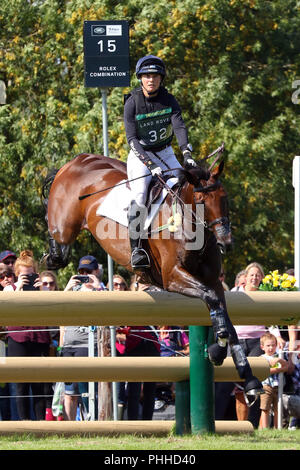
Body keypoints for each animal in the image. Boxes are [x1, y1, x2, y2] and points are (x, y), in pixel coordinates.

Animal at [42, 153, 262, 396]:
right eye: (201, 199)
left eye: (225, 198)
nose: (226, 242)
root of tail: (78, 160)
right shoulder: (172, 276)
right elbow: (212, 300)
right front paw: (218, 348)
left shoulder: (213, 281)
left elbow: (224, 315)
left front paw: (248, 377)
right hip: (65, 225)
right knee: (55, 230)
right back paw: (53, 255)